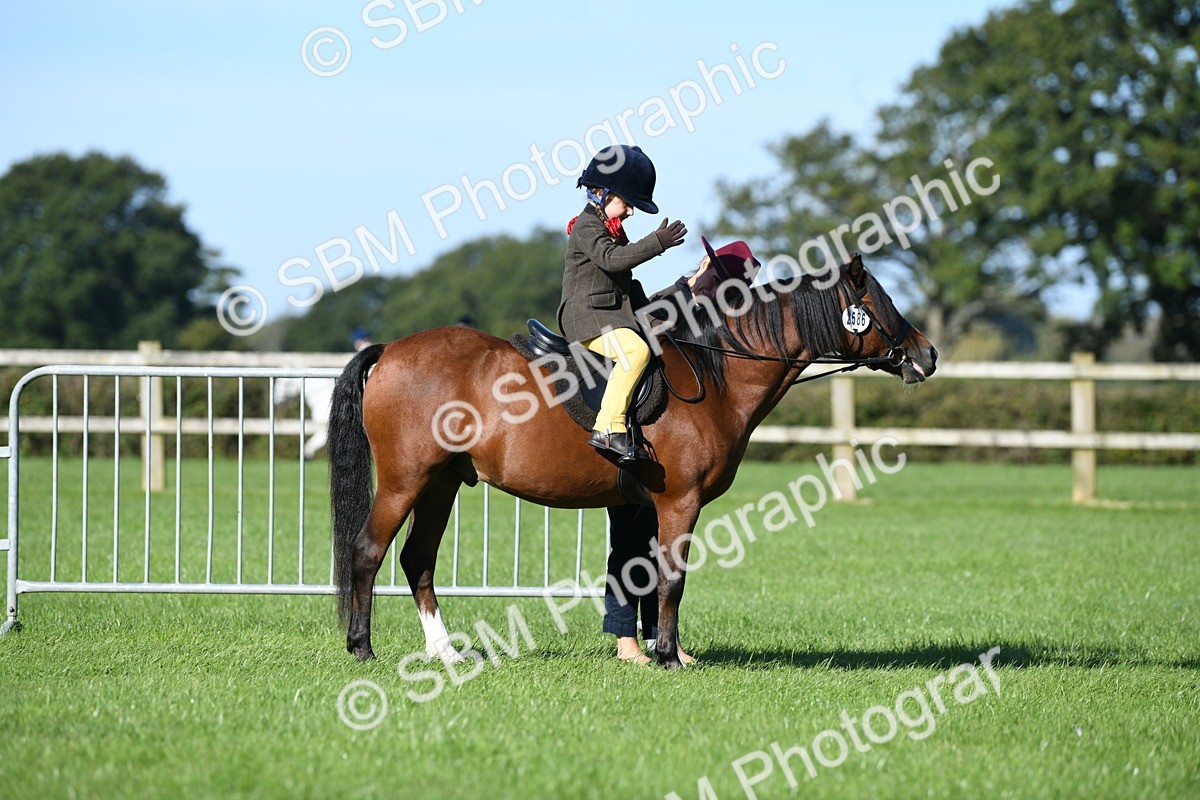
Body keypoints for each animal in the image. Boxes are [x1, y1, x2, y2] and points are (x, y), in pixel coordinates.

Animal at [327, 254, 937, 669]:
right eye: (876, 304)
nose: (927, 355)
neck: (715, 374)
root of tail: (392, 350)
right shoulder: (680, 503)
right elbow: (671, 580)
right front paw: (667, 656)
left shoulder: (646, 508)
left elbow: (642, 578)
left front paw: (661, 652)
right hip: (406, 481)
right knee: (368, 550)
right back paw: (362, 648)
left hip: (441, 484)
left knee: (417, 561)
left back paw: (445, 652)